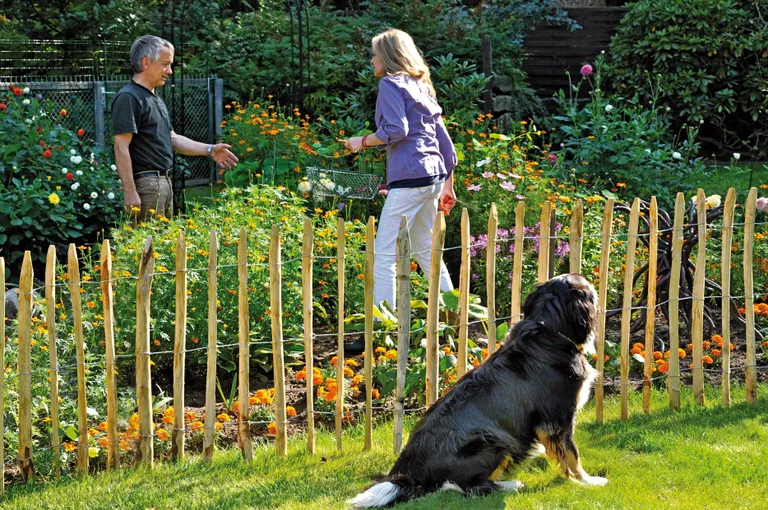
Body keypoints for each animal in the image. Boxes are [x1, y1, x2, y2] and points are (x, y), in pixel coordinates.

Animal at [348, 272, 608, 508]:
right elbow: (572, 454)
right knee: (464, 486)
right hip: (492, 440)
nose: (595, 287)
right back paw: (511, 484)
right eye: (587, 286)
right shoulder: (558, 418)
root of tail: (409, 474)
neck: (550, 330)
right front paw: (588, 481)